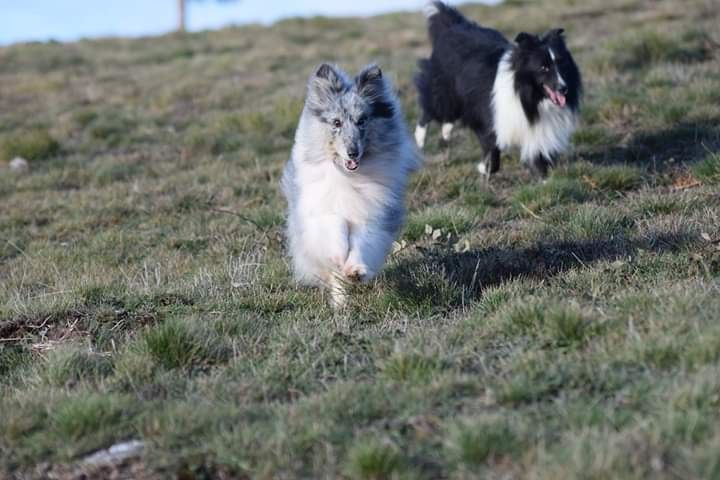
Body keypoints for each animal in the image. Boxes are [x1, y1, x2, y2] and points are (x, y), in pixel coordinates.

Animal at [414, 0, 584, 177]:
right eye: (543, 68)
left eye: (561, 63)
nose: (563, 89)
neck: (528, 96)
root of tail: (453, 26)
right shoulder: (490, 119)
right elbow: (492, 153)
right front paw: (483, 168)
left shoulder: (535, 130)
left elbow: (538, 159)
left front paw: (544, 179)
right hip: (444, 92)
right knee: (430, 110)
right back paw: (420, 140)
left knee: (449, 116)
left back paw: (446, 133)